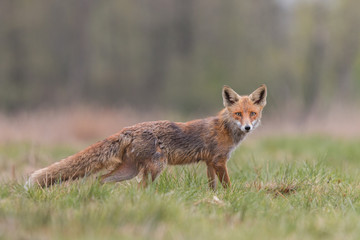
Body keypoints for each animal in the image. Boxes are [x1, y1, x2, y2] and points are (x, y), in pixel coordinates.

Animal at [25, 85, 266, 190]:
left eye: (253, 114)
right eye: (238, 114)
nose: (247, 127)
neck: (225, 128)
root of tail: (127, 129)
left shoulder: (209, 162)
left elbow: (212, 186)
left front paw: (214, 199)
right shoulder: (218, 161)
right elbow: (227, 185)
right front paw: (229, 197)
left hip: (128, 170)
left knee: (100, 179)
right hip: (155, 167)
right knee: (140, 188)